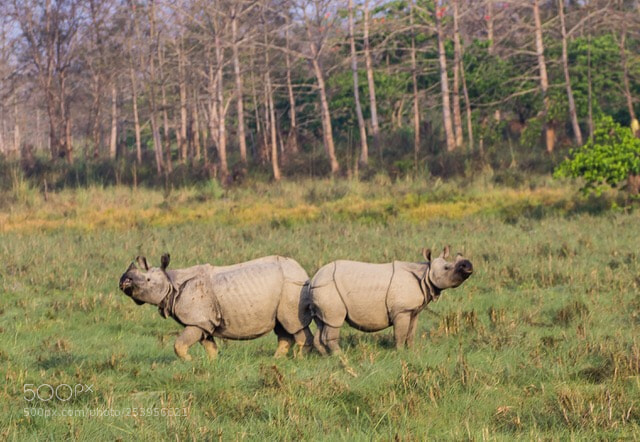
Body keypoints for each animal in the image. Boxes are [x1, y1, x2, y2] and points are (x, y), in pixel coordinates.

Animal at [118, 254, 313, 360]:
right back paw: (277, 359)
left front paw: (189, 360)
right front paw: (212, 362)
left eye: (147, 280)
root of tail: (303, 271)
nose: (123, 280)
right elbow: (209, 346)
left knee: (293, 324)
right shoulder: (203, 321)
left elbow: (179, 344)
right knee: (282, 326)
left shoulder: (197, 320)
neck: (170, 282)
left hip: (292, 286)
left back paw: (300, 358)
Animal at [309, 246, 473, 355]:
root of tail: (313, 279)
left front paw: (412, 351)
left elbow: (411, 333)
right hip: (329, 288)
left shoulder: (413, 311)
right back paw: (340, 355)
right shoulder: (402, 310)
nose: (469, 266)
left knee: (322, 322)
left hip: (321, 290)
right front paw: (399, 353)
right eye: (447, 268)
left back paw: (326, 356)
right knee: (334, 322)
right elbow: (400, 333)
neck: (425, 274)